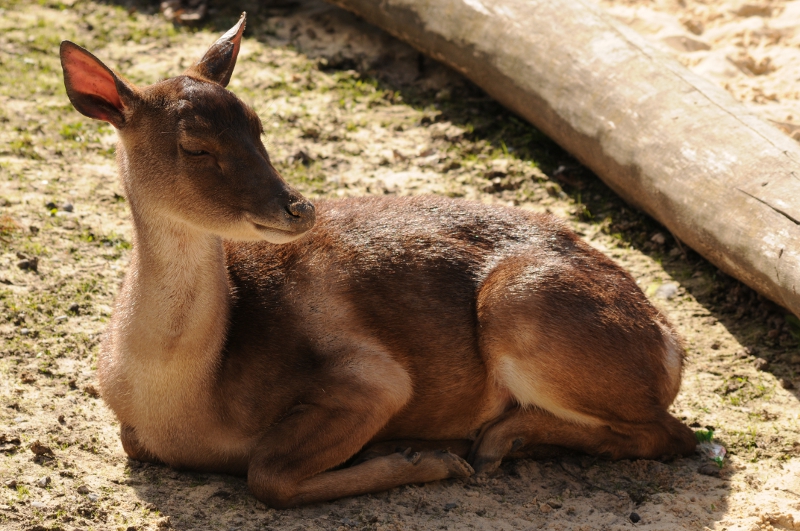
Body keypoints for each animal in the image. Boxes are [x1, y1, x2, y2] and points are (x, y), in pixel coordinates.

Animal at [59, 13, 697, 508]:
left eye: (259, 126)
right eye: (194, 145)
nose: (300, 208)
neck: (184, 402)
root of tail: (671, 343)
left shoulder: (374, 376)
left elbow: (266, 474)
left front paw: (425, 460)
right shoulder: (133, 430)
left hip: (525, 309)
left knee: (672, 434)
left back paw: (496, 441)